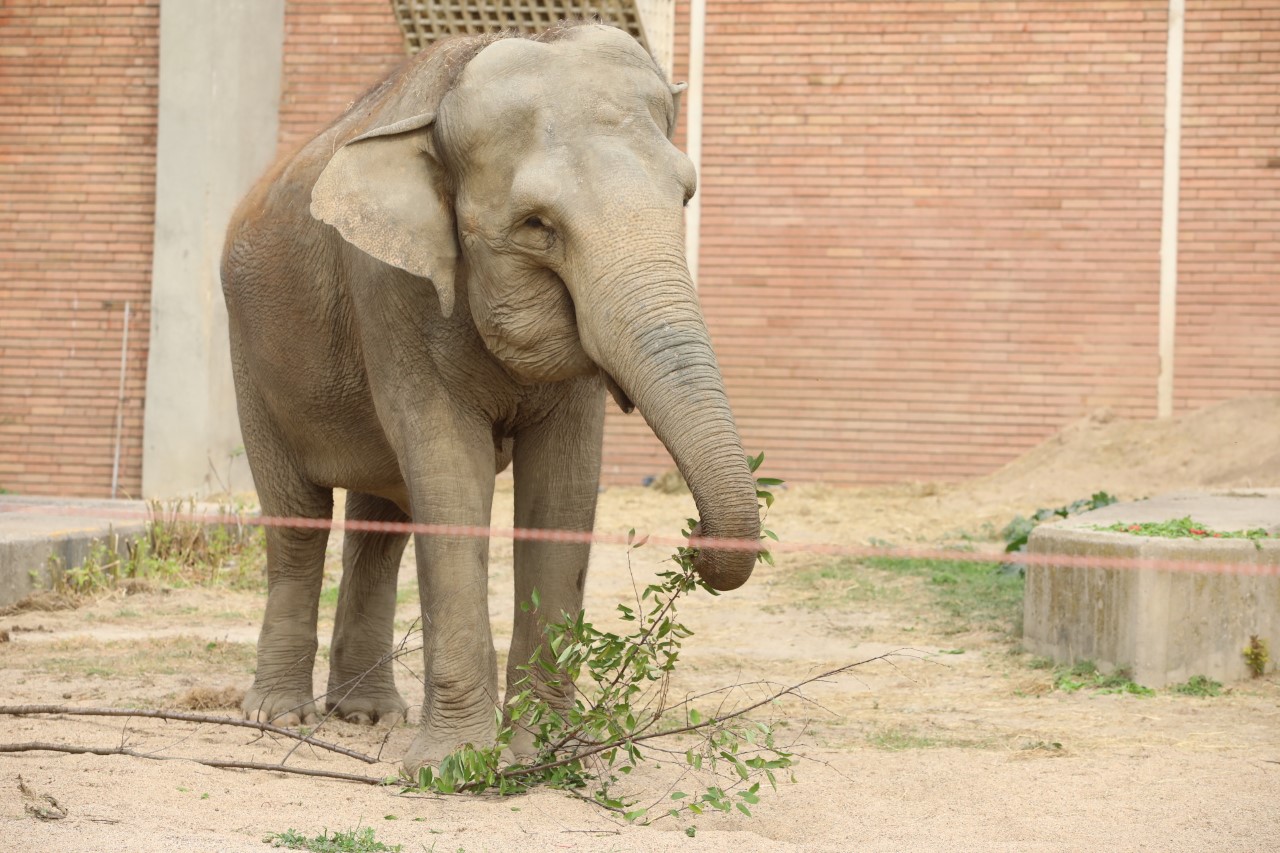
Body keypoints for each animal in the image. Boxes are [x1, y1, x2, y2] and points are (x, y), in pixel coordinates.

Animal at [220, 21, 757, 768]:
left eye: (684, 198)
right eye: (536, 225)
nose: (695, 538)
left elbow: (564, 483)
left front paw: (545, 755)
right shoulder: (390, 284)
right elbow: (449, 469)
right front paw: (453, 767)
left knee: (381, 524)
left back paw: (366, 715)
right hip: (251, 358)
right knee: (298, 520)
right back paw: (280, 716)